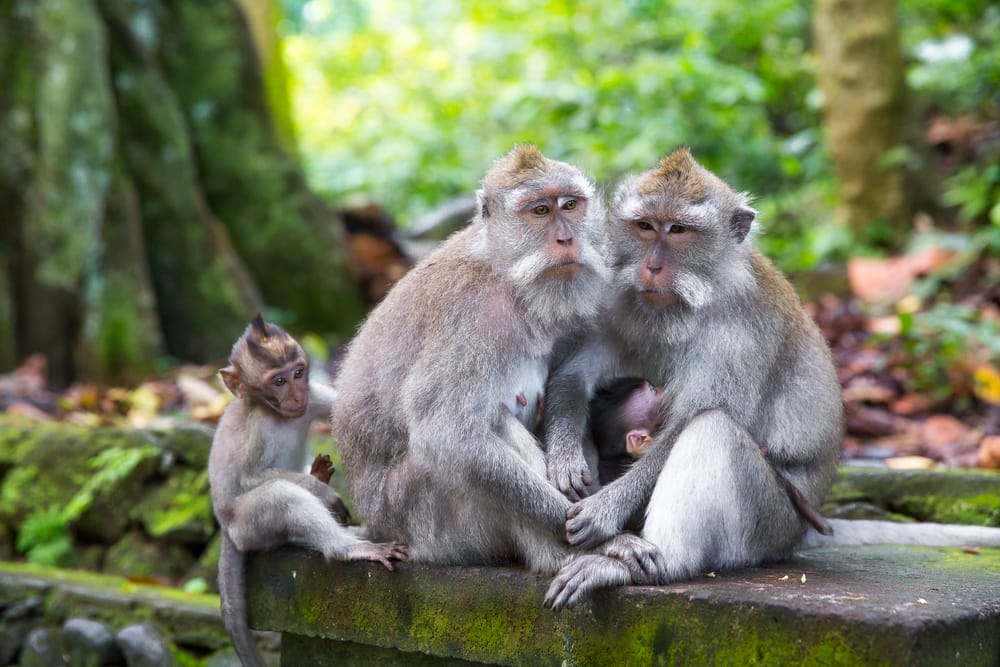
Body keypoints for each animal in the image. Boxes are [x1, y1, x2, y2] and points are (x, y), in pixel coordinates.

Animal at [209, 315, 407, 667]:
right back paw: (347, 547)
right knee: (281, 496)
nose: (296, 394)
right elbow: (249, 478)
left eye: (298, 373)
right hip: (247, 526)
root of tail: (225, 529)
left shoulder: (314, 397)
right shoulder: (255, 428)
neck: (274, 413)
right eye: (278, 381)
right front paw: (323, 492)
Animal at [331, 145, 666, 583]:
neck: (505, 275)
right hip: (429, 523)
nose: (566, 238)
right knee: (486, 427)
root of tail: (378, 525)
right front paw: (609, 538)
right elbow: (446, 432)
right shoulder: (469, 315)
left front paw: (569, 463)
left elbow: (570, 383)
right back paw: (565, 556)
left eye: (570, 205)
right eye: (539, 210)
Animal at [541, 149, 1000, 610]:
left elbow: (688, 423)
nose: (651, 266)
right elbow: (576, 375)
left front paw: (605, 510)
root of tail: (801, 534)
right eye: (645, 226)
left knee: (712, 429)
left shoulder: (740, 334)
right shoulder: (616, 298)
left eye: (679, 230)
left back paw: (652, 563)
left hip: (768, 527)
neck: (691, 302)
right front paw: (564, 458)